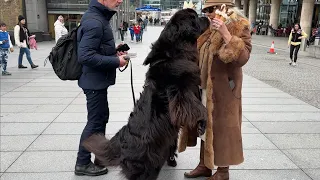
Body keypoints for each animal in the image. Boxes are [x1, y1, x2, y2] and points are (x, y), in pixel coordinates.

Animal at [82, 8, 208, 180]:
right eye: (195, 17)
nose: (208, 17)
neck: (174, 53)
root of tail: (119, 142)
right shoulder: (181, 92)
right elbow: (199, 108)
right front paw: (203, 123)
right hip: (145, 165)